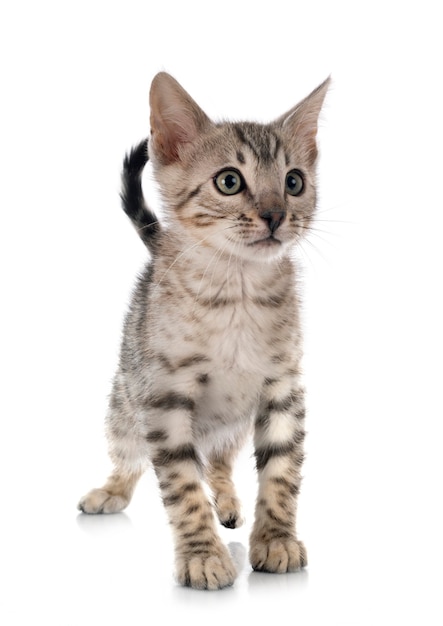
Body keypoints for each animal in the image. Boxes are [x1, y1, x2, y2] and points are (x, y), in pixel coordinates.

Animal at [79, 70, 330, 588]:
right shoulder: (165, 395)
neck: (237, 293)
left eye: (294, 182)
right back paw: (111, 491)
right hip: (124, 406)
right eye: (229, 181)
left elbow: (281, 470)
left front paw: (276, 539)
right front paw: (202, 555)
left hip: (232, 422)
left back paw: (229, 500)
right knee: (130, 456)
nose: (276, 215)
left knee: (217, 458)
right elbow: (181, 484)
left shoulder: (283, 385)